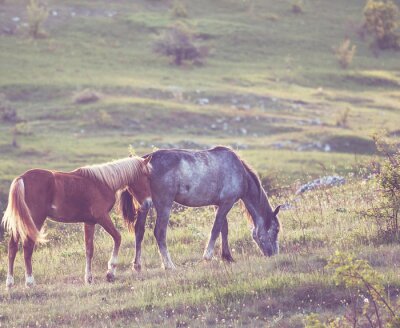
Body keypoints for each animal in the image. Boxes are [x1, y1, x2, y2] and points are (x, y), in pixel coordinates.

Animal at [1, 156, 152, 288]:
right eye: (146, 175)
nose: (149, 203)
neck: (102, 183)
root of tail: (22, 178)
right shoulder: (102, 217)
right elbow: (117, 238)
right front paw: (110, 273)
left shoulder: (89, 222)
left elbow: (89, 249)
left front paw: (89, 278)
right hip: (35, 220)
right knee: (27, 247)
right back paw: (30, 282)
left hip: (21, 223)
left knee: (12, 247)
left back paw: (10, 282)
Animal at [120, 147, 280, 270]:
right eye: (276, 230)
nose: (274, 254)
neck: (239, 172)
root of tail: (145, 161)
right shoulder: (226, 203)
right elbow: (216, 229)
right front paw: (208, 256)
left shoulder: (219, 204)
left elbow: (224, 229)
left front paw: (227, 257)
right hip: (164, 204)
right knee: (159, 232)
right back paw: (169, 265)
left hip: (144, 206)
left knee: (139, 230)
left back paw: (137, 265)